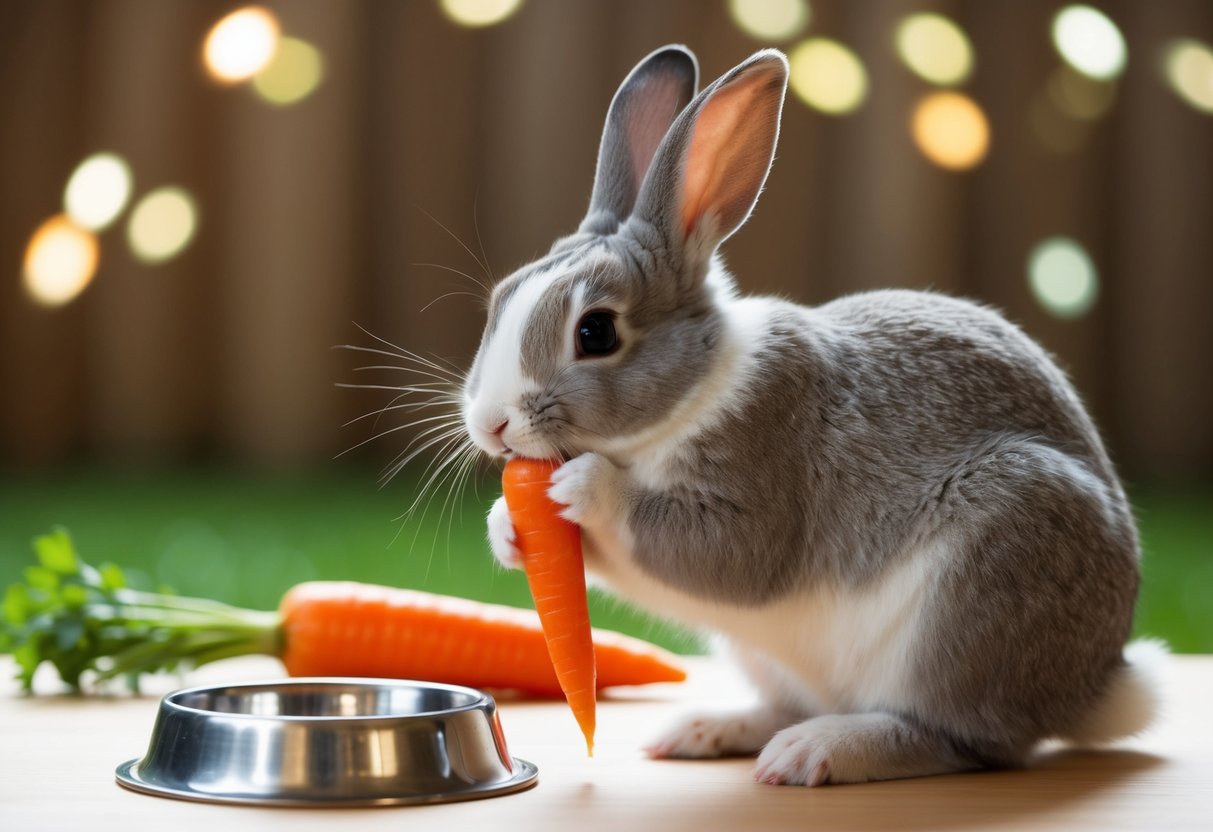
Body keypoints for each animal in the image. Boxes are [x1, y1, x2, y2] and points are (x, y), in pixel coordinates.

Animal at [460, 44, 1165, 786]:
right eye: (503, 298)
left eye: (595, 333)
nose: (491, 424)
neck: (690, 393)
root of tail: (1093, 688)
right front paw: (507, 526)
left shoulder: (757, 487)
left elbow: (701, 546)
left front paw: (582, 486)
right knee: (791, 706)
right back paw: (706, 731)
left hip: (979, 590)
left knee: (963, 742)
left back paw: (817, 752)